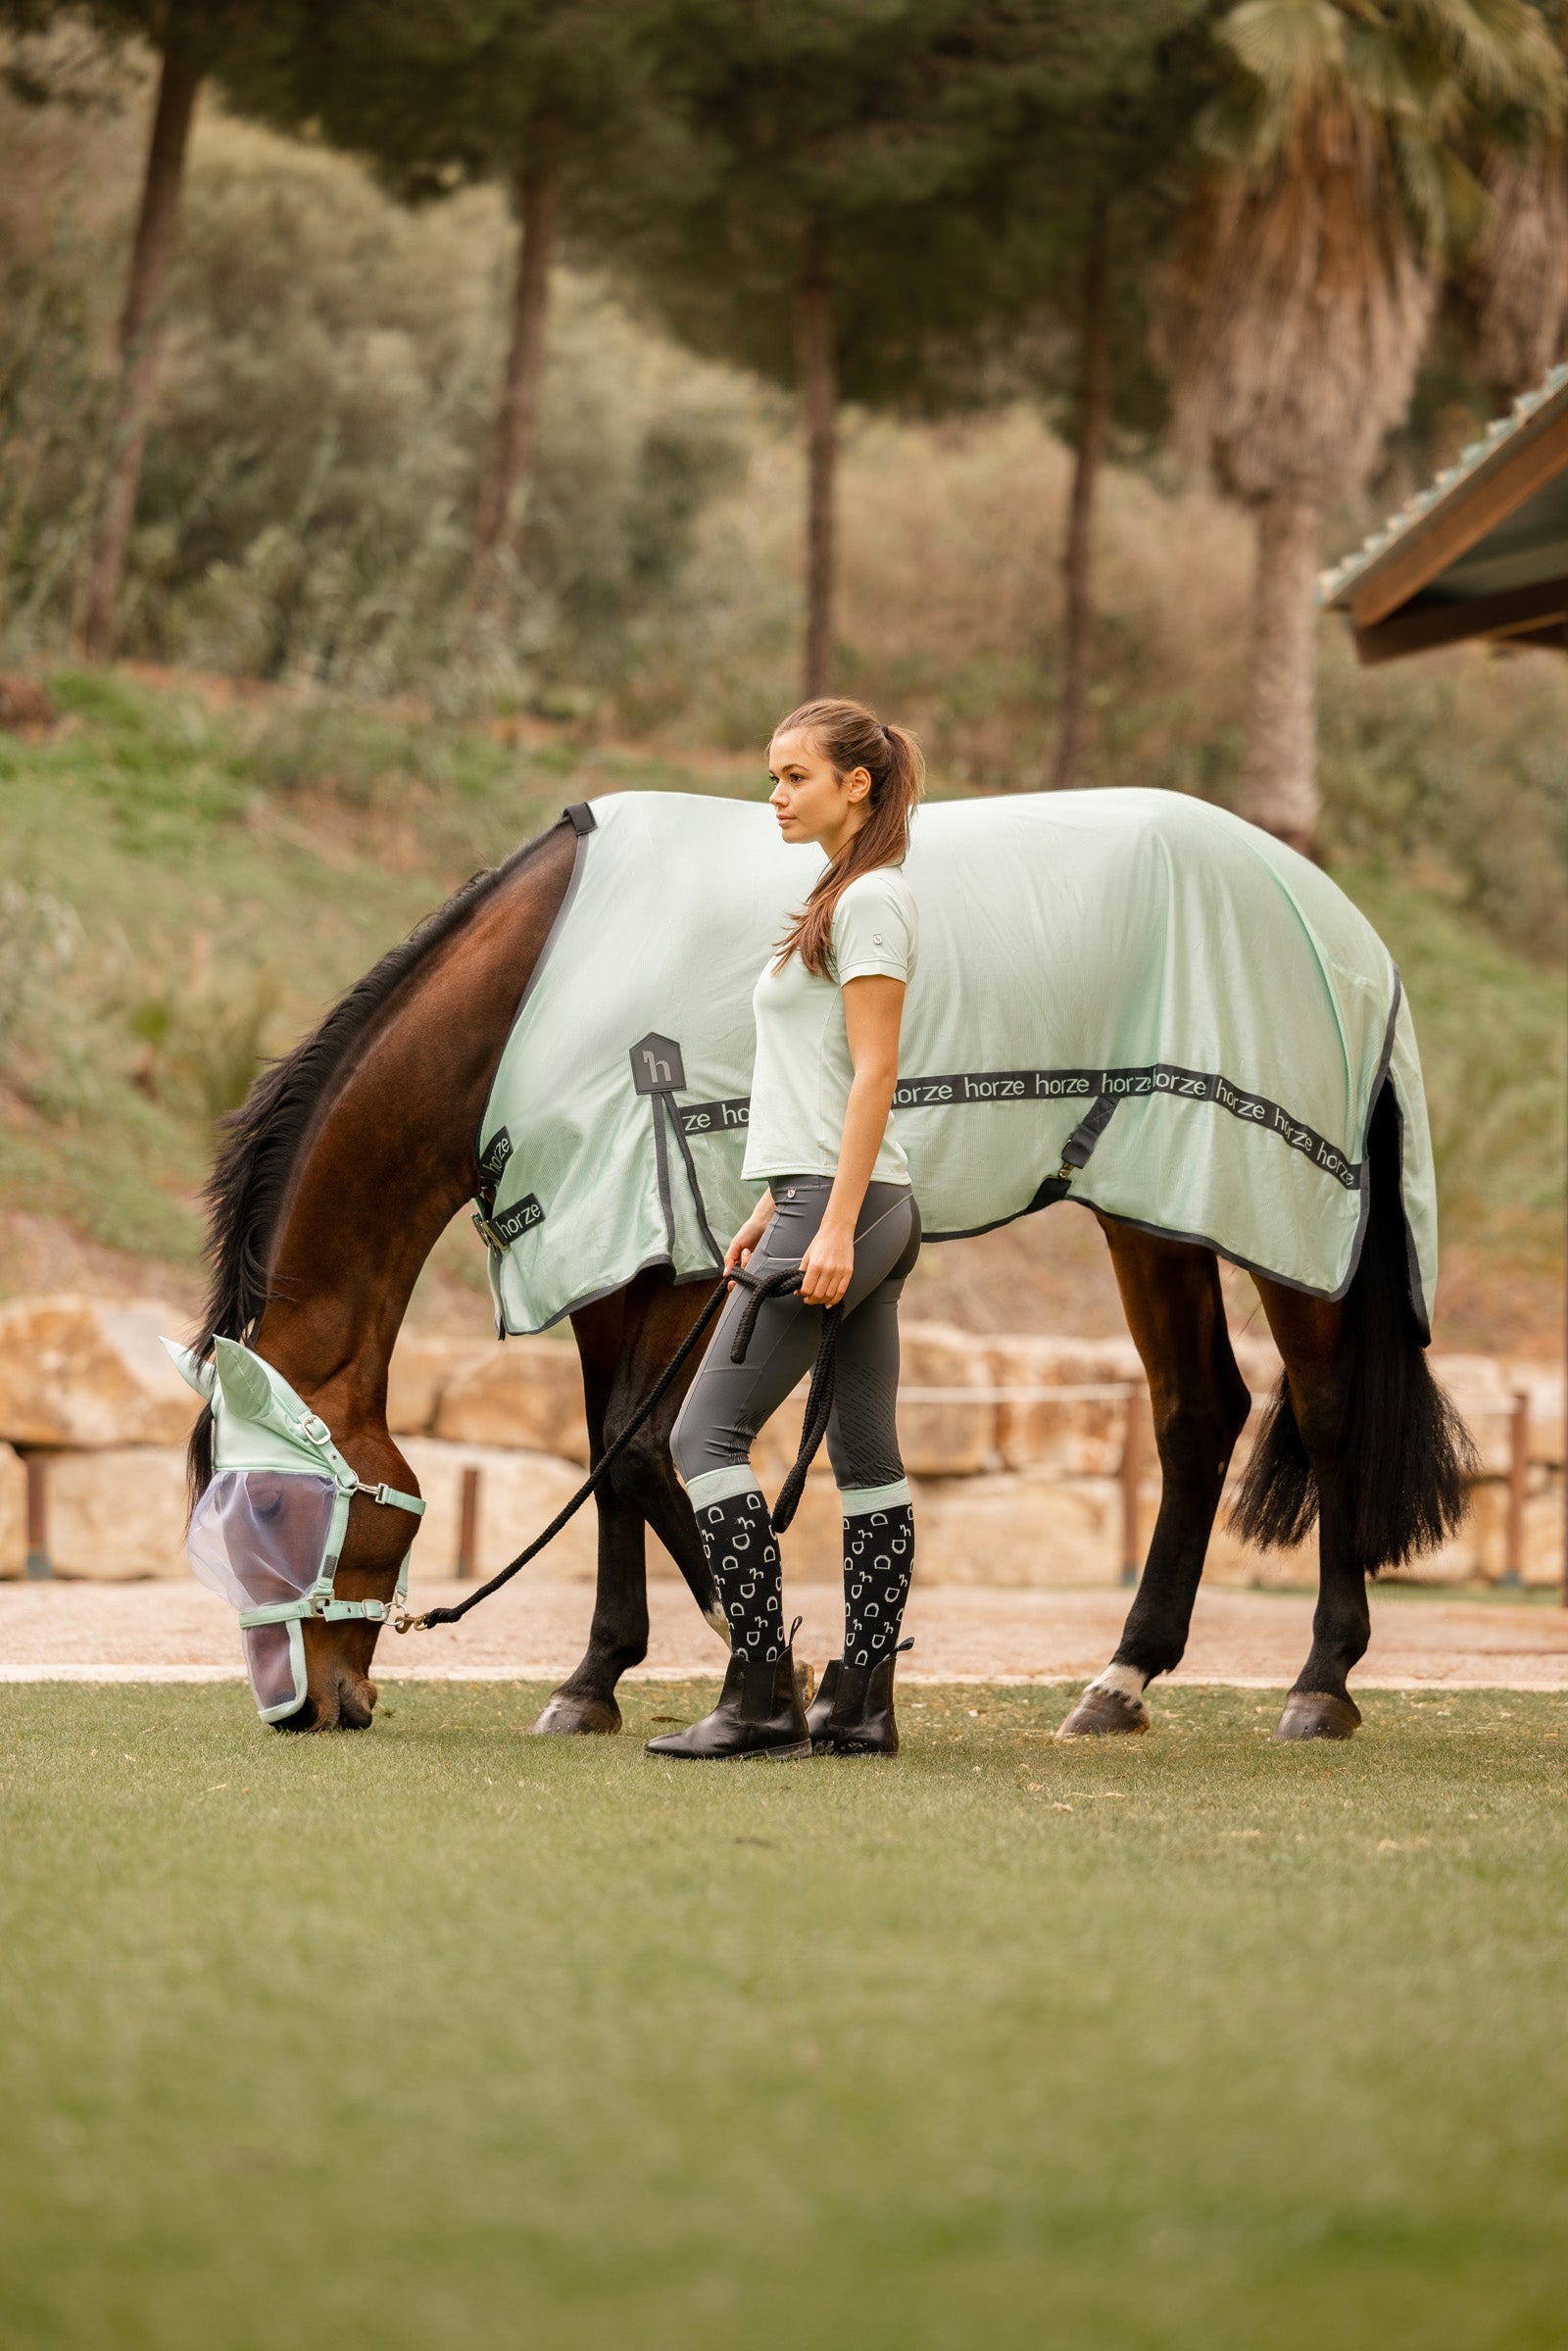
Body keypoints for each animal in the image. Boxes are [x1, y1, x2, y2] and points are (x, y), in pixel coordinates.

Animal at [187, 801, 1471, 1738]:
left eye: (273, 1506)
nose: (310, 1705)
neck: (536, 995)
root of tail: (1340, 921)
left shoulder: (678, 1257)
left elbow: (642, 1451)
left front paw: (770, 1668)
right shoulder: (614, 1257)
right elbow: (611, 1453)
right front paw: (597, 1678)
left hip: (1284, 1223)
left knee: (1326, 1410)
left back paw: (1320, 1682)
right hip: (1151, 1213)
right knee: (1197, 1412)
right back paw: (1121, 1680)